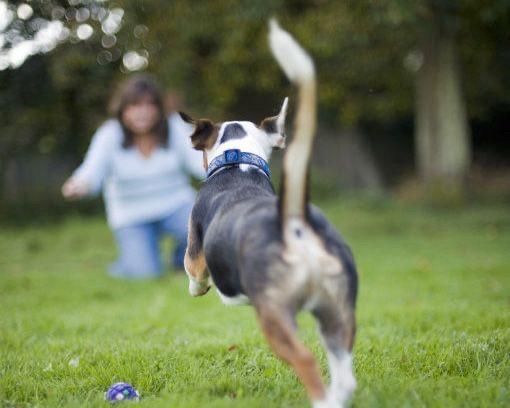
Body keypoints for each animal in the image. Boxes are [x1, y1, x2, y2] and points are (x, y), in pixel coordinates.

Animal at [179, 19, 358, 408]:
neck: (237, 163)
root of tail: (294, 223)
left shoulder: (195, 253)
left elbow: (194, 274)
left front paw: (199, 289)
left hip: (275, 316)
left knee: (305, 361)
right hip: (338, 313)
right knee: (344, 373)